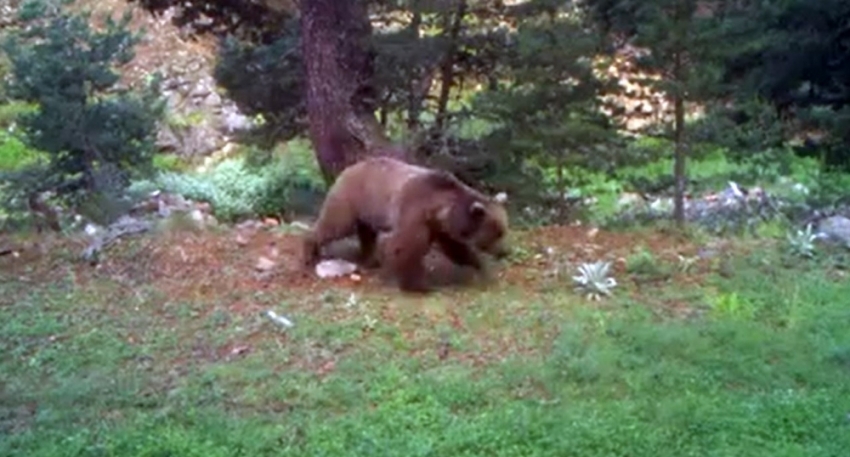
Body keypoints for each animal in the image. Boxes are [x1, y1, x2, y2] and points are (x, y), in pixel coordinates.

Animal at [300, 157, 506, 292]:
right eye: (497, 233)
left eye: (502, 231)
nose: (505, 252)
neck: (440, 209)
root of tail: (348, 168)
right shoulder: (414, 212)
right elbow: (406, 247)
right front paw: (421, 285)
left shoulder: (440, 228)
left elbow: (455, 249)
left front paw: (479, 266)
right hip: (350, 199)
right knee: (335, 225)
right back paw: (310, 252)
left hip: (368, 211)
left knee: (367, 234)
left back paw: (371, 259)